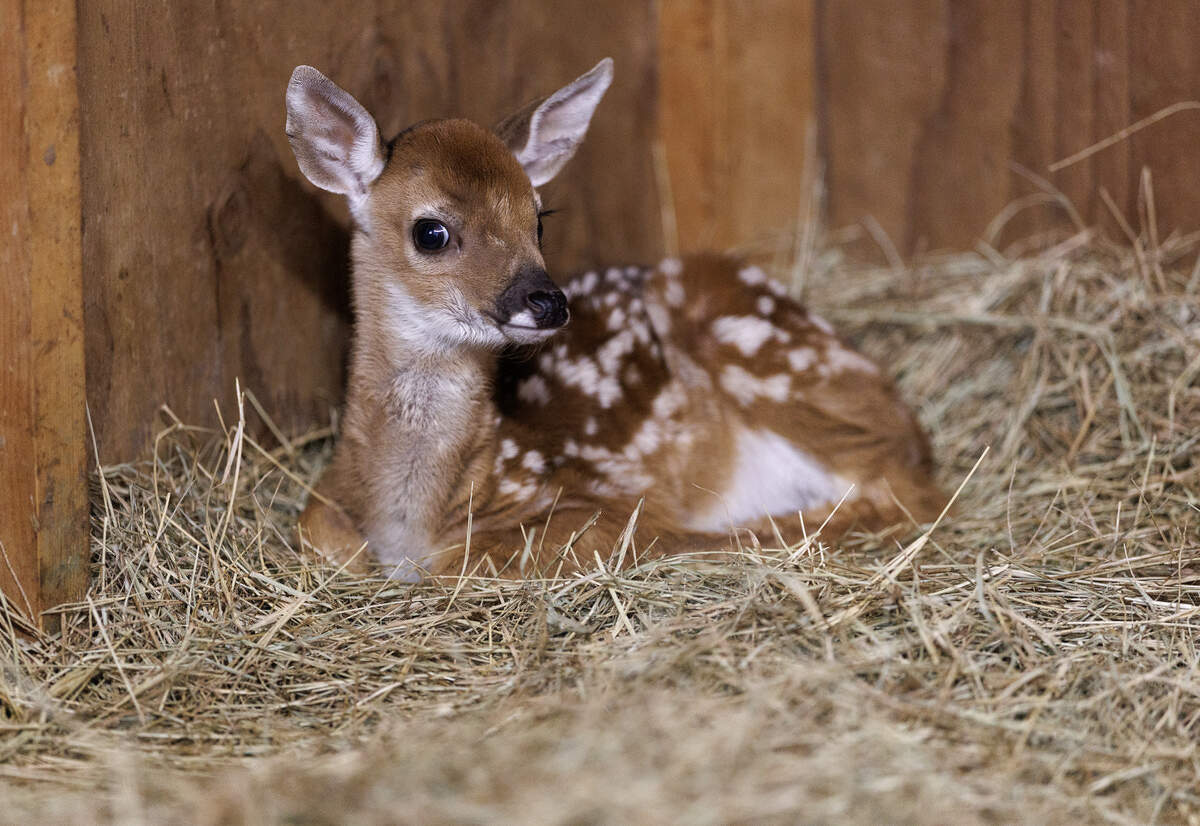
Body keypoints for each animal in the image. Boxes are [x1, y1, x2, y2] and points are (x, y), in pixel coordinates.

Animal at [284, 58, 947, 581]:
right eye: (431, 231)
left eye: (539, 217)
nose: (548, 300)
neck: (413, 519)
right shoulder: (327, 502)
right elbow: (315, 529)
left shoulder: (599, 500)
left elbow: (476, 562)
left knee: (901, 495)